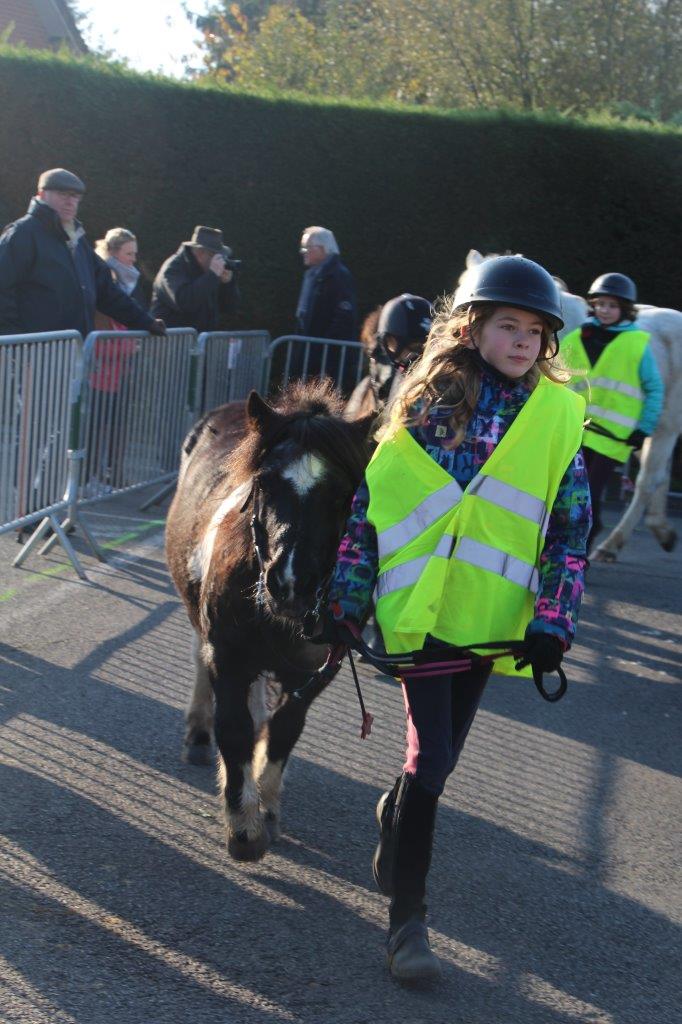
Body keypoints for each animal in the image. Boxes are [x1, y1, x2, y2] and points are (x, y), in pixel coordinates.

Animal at [166, 380, 374, 860]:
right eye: (265, 481)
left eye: (343, 492)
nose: (290, 582)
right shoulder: (226, 655)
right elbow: (233, 729)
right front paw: (244, 826)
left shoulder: (316, 672)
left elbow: (283, 731)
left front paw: (267, 805)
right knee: (200, 661)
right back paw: (198, 736)